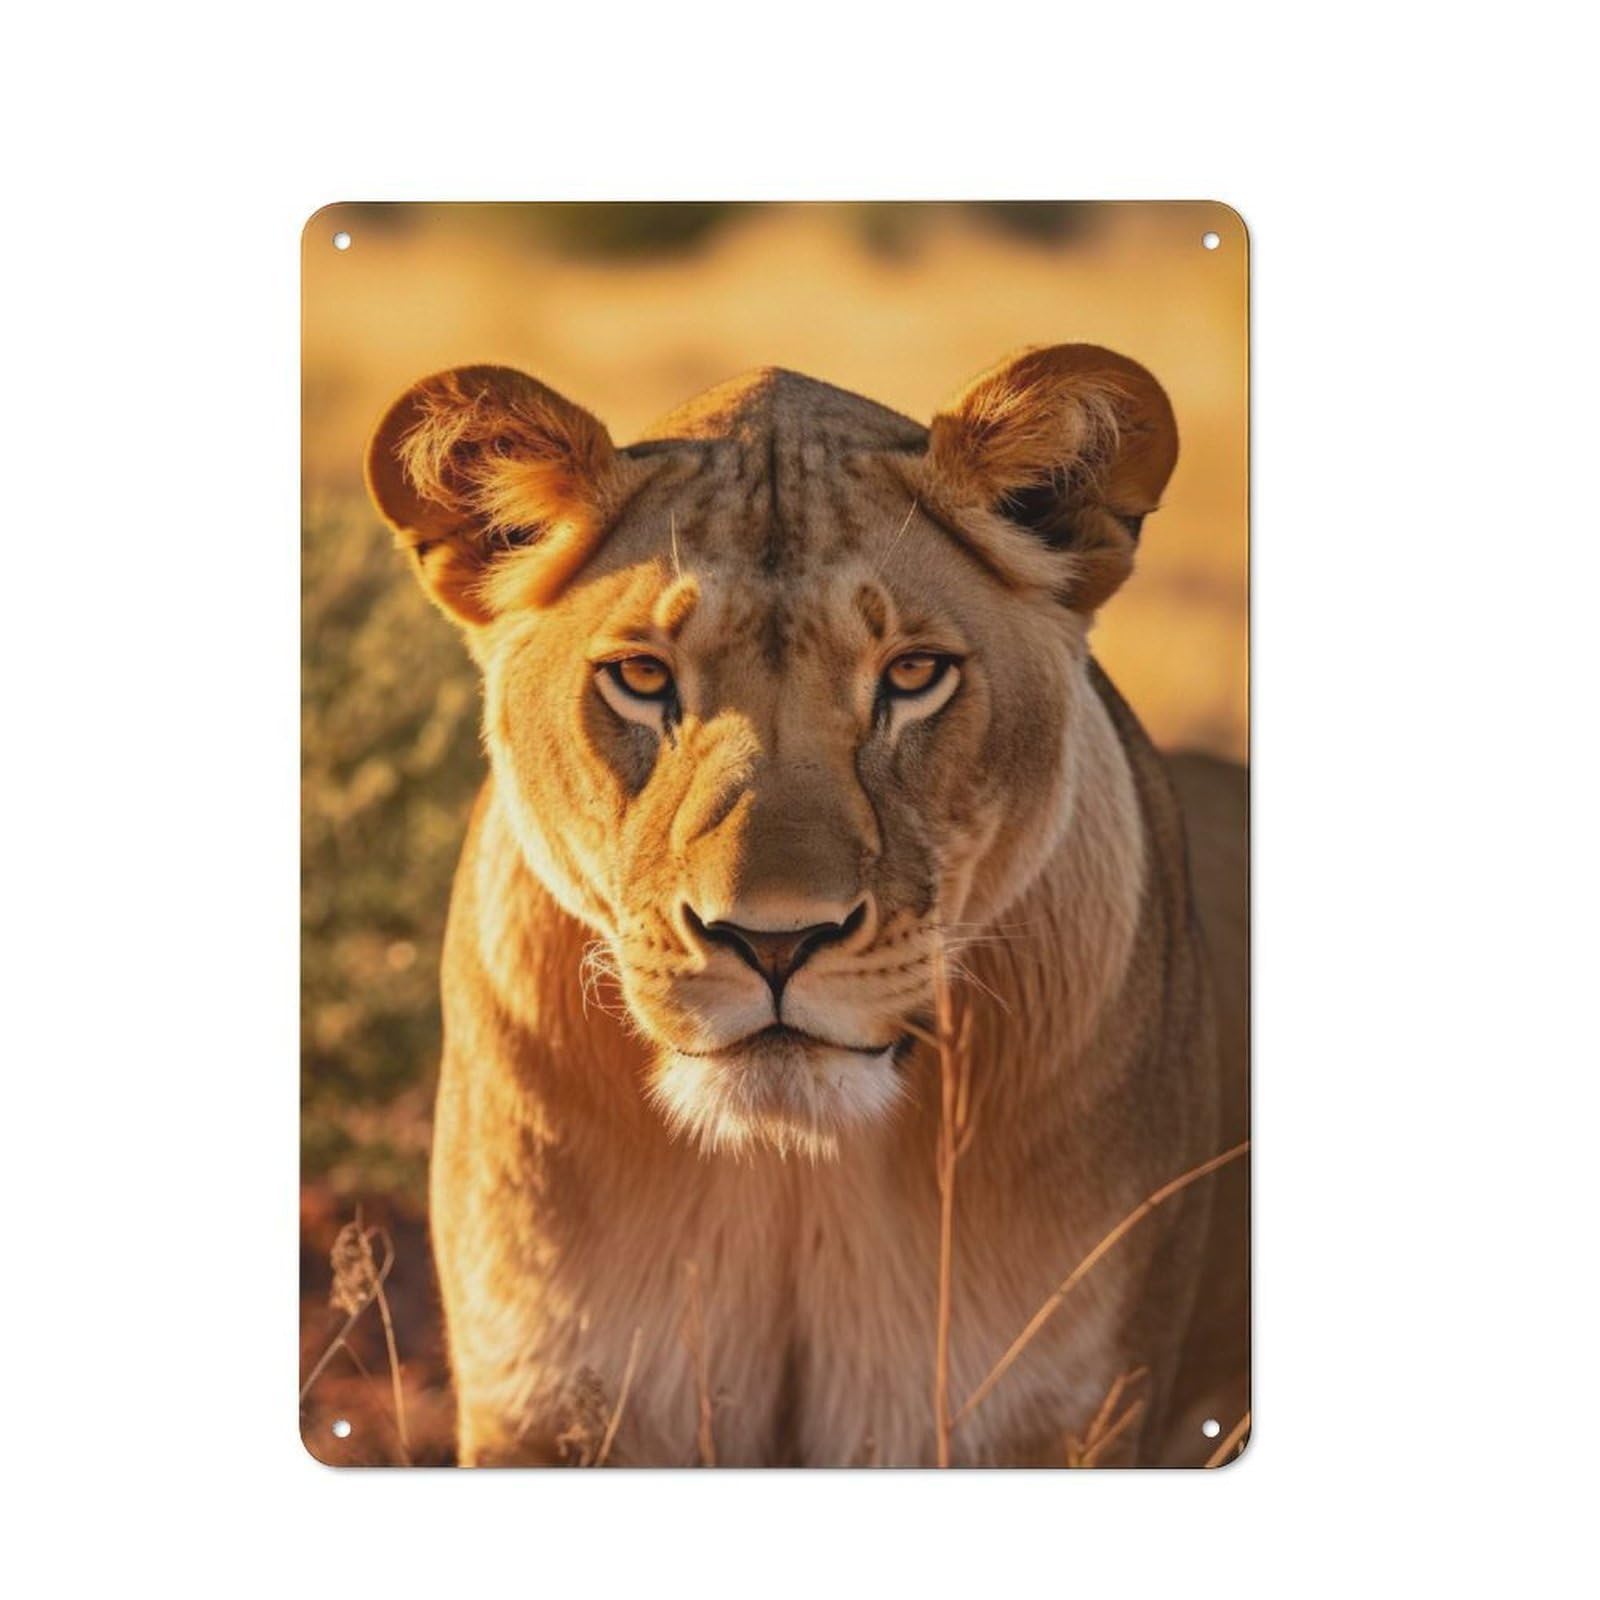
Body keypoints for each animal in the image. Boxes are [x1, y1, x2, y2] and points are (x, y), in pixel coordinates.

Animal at [364, 346, 1248, 1467]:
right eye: (640, 675)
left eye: (913, 673)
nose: (773, 940)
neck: (790, 1169)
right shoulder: (546, 1400)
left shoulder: (1058, 1413)